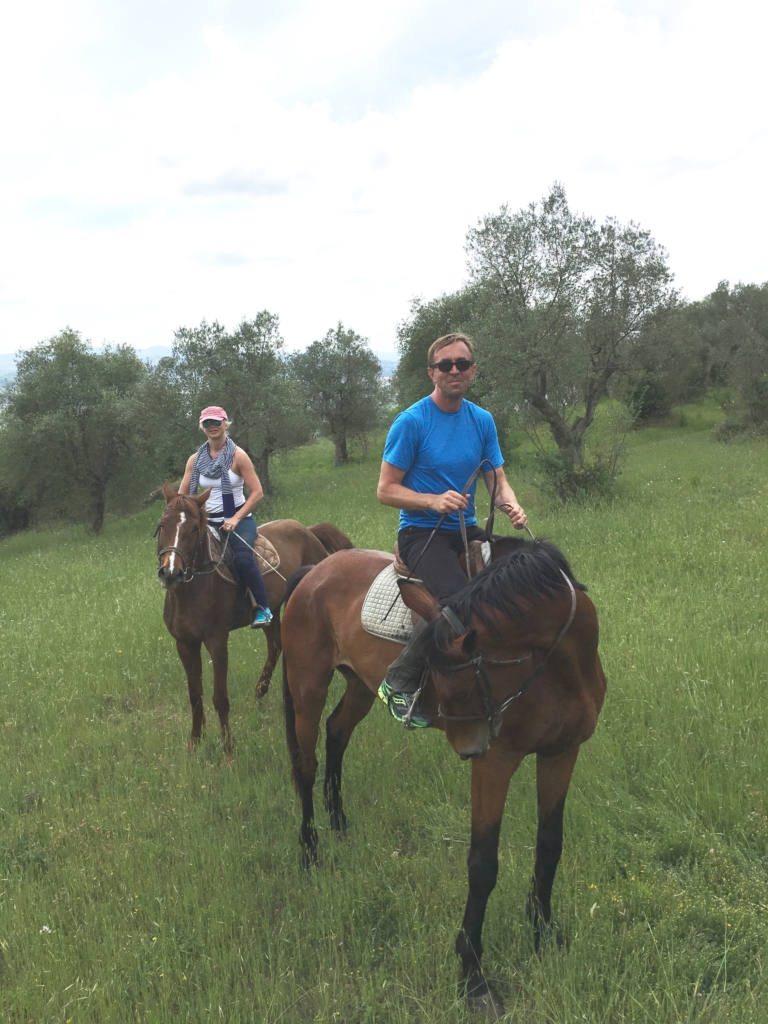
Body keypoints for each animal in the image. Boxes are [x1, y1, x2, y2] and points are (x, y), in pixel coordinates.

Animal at [156, 479, 354, 753]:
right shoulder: (185, 643)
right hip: (273, 609)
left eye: (194, 529)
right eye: (163, 524)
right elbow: (195, 696)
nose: (171, 572)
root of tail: (308, 531)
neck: (193, 590)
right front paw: (194, 743)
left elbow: (220, 697)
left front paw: (228, 749)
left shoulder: (217, 641)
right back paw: (260, 692)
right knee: (276, 644)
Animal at [280, 540, 606, 1019]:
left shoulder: (561, 753)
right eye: (449, 687)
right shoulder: (495, 763)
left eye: (466, 686)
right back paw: (309, 852)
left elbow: (550, 846)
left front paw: (544, 934)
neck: (557, 667)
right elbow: (483, 865)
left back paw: (340, 824)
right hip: (308, 687)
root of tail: (315, 571)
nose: (467, 749)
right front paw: (473, 977)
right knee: (306, 766)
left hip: (358, 685)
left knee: (337, 733)